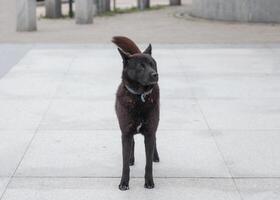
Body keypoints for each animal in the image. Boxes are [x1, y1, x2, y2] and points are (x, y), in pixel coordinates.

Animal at [112, 36, 160, 191]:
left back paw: (155, 156)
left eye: (153, 64)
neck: (139, 97)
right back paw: (132, 159)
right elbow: (124, 162)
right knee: (132, 143)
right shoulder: (126, 132)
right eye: (141, 66)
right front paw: (124, 183)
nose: (155, 75)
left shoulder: (150, 132)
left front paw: (149, 182)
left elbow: (148, 164)